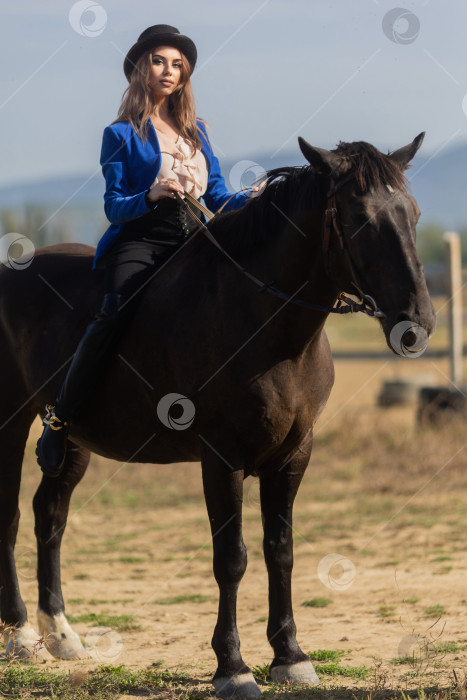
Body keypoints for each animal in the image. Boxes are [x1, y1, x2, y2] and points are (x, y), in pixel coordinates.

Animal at [1, 134, 436, 696]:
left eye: (414, 213)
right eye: (360, 218)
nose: (417, 323)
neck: (266, 328)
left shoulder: (293, 455)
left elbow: (280, 550)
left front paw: (290, 655)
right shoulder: (221, 457)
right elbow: (231, 558)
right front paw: (233, 666)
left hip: (73, 440)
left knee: (49, 515)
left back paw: (61, 635)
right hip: (9, 422)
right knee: (10, 516)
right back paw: (20, 634)